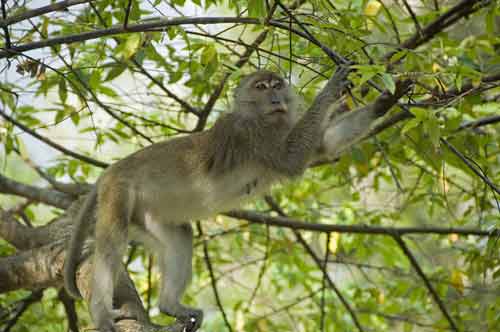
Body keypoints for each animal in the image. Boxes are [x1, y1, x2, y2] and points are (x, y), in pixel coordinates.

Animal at [63, 67, 348, 332]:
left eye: (277, 85)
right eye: (262, 87)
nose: (277, 99)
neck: (261, 119)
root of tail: (113, 169)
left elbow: (327, 146)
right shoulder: (248, 134)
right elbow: (291, 159)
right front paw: (332, 89)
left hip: (147, 215)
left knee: (179, 236)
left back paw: (170, 305)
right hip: (119, 192)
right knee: (112, 244)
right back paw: (101, 313)